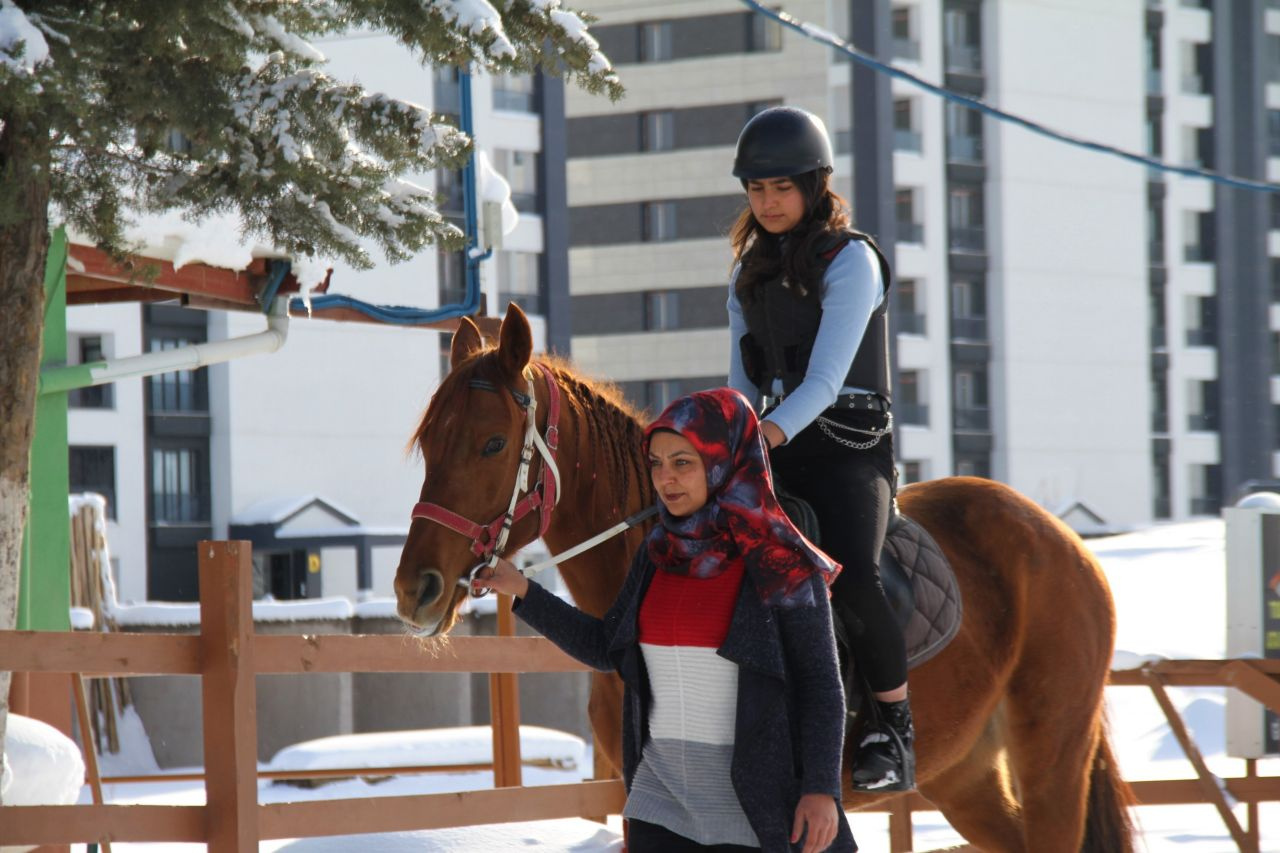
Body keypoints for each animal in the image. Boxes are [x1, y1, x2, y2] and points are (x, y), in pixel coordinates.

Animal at [394, 302, 1136, 845]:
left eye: (492, 443)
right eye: (429, 442)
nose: (414, 589)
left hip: (1051, 762)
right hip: (969, 778)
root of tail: (1066, 543)